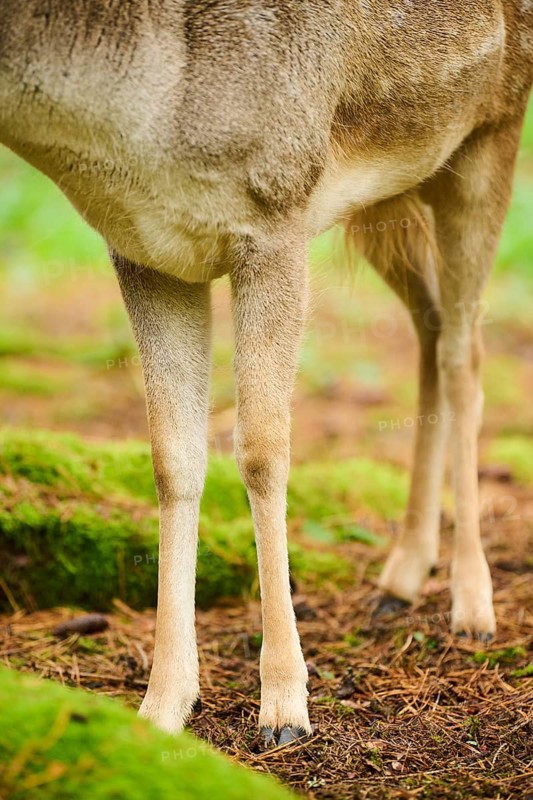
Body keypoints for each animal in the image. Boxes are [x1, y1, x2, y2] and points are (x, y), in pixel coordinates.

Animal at [0, 1, 531, 746]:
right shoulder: (146, 253)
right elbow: (171, 457)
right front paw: (162, 706)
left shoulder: (277, 216)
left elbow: (261, 449)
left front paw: (284, 705)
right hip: (390, 191)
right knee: (428, 327)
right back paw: (400, 575)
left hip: (491, 133)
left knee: (465, 352)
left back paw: (472, 603)